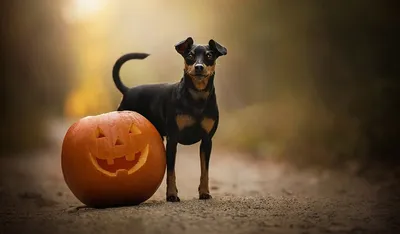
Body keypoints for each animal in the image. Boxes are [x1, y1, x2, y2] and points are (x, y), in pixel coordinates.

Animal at [112, 36, 227, 201]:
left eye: (209, 55)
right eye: (190, 55)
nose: (199, 67)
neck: (197, 98)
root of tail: (128, 91)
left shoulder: (207, 141)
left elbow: (205, 170)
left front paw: (204, 192)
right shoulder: (173, 139)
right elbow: (171, 171)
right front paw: (172, 194)